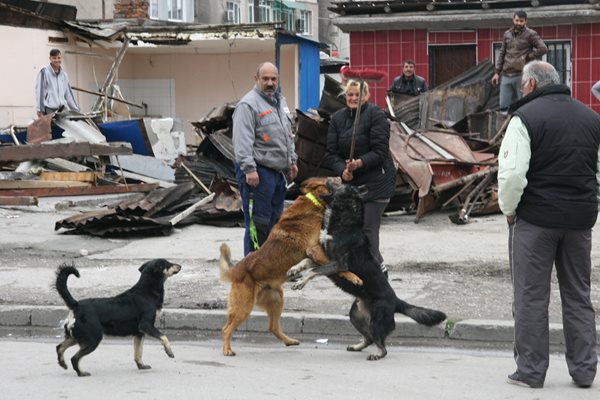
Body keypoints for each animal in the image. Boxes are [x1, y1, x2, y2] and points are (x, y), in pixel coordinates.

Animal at [220, 177, 360, 354]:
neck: (314, 201)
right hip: (244, 307)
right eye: (330, 180)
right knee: (226, 329)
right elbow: (340, 267)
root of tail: (236, 270)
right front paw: (354, 276)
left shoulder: (313, 254)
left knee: (273, 327)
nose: (344, 177)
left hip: (277, 300)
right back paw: (227, 350)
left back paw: (289, 341)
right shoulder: (315, 250)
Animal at [288, 184, 448, 360]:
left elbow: (314, 270)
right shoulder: (323, 257)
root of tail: (396, 301)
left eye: (341, 185)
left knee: (382, 346)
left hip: (375, 322)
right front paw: (294, 270)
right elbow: (306, 262)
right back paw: (357, 347)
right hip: (355, 316)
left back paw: (377, 354)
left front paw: (301, 281)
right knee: (369, 338)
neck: (345, 222)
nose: (331, 179)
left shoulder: (339, 264)